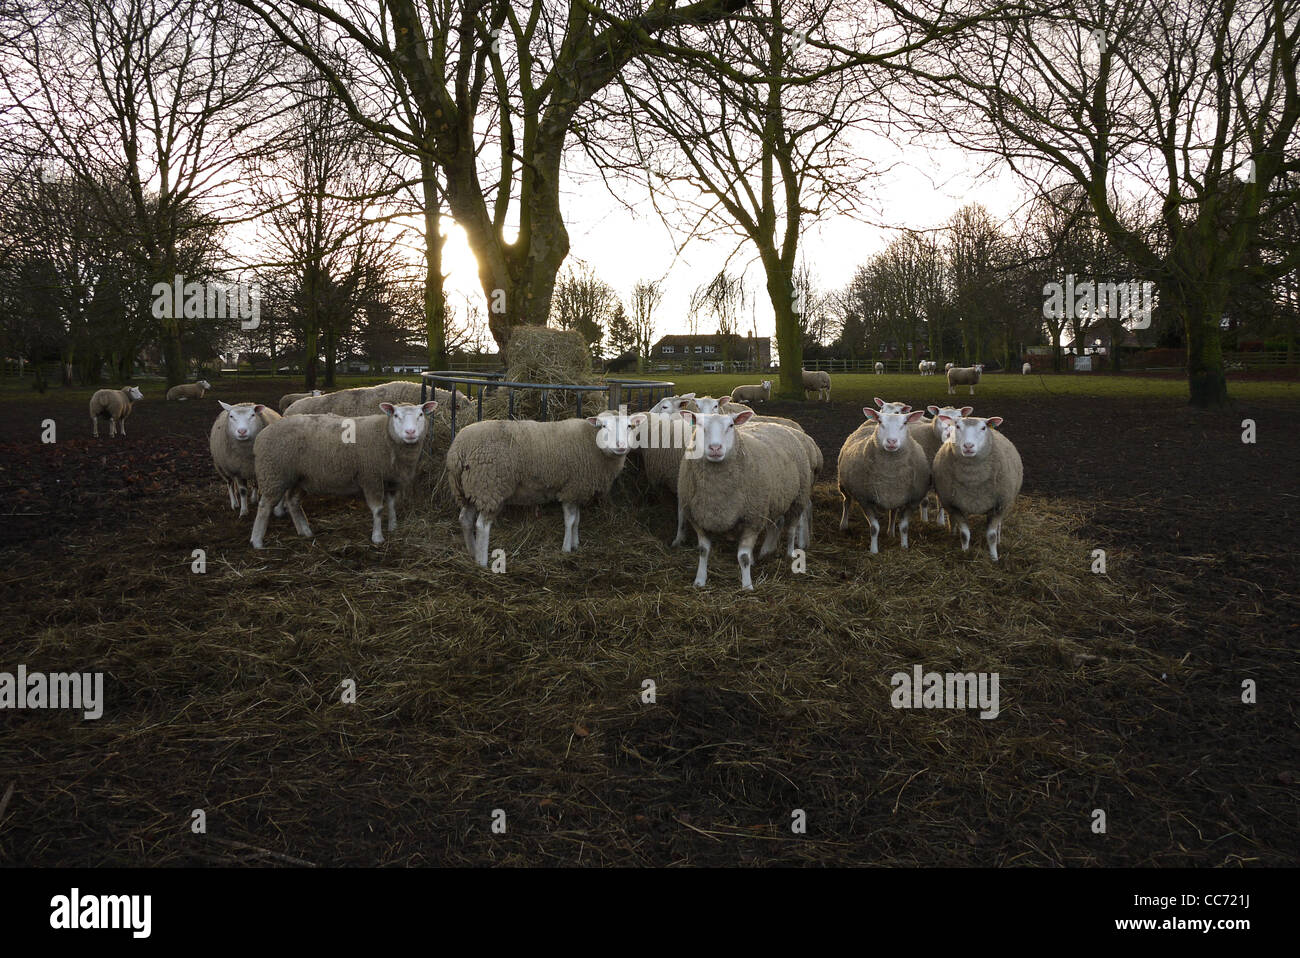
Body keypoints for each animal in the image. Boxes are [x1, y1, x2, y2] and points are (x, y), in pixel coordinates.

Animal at [248, 397, 441, 545]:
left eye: (421, 414)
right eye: (396, 415)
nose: (410, 432)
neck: (385, 436)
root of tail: (262, 435)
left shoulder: (390, 479)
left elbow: (392, 505)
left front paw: (393, 527)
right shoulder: (371, 477)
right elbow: (378, 509)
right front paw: (377, 537)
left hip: (299, 477)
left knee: (292, 501)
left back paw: (305, 531)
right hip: (274, 473)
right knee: (265, 506)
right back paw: (257, 541)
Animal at [449, 408, 647, 564]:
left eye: (629, 426)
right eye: (603, 426)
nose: (620, 446)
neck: (592, 443)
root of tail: (459, 448)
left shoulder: (577, 488)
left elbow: (577, 519)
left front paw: (576, 544)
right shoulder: (571, 489)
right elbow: (570, 520)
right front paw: (566, 549)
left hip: (468, 490)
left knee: (465, 519)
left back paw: (472, 552)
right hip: (489, 486)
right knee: (482, 526)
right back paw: (482, 562)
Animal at [676, 408, 806, 587]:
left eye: (731, 425)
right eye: (699, 425)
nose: (715, 447)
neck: (717, 493)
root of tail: (776, 423)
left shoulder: (753, 519)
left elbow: (742, 556)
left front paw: (747, 585)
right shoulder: (698, 518)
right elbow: (703, 551)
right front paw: (699, 580)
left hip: (798, 498)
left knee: (791, 529)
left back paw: (790, 552)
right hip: (776, 499)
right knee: (776, 524)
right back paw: (765, 552)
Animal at [842, 405, 935, 553]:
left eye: (905, 423)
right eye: (880, 422)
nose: (892, 441)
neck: (890, 476)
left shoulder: (913, 500)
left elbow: (904, 527)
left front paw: (904, 546)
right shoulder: (865, 500)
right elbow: (874, 528)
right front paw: (873, 550)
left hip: (896, 497)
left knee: (893, 512)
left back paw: (890, 532)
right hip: (843, 485)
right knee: (846, 501)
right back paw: (843, 525)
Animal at [935, 413, 1024, 561]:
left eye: (983, 428)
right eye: (957, 426)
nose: (968, 446)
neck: (973, 481)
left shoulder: (999, 506)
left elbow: (991, 536)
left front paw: (994, 558)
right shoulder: (955, 505)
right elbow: (965, 534)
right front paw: (965, 552)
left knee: (998, 527)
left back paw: (999, 538)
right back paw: (952, 532)